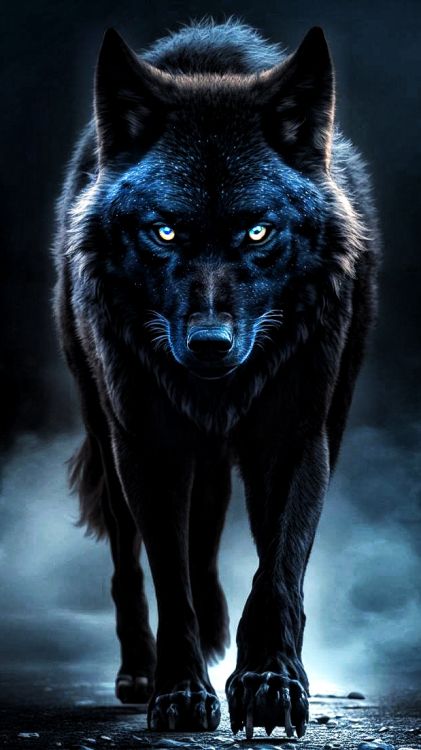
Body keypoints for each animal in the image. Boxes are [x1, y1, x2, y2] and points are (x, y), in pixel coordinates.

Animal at [53, 19, 379, 739]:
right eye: (164, 233)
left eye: (257, 232)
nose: (209, 346)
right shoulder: (146, 446)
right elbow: (167, 578)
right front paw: (178, 691)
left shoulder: (296, 436)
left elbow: (277, 571)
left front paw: (269, 683)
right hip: (108, 432)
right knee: (129, 562)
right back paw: (139, 670)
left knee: (208, 545)